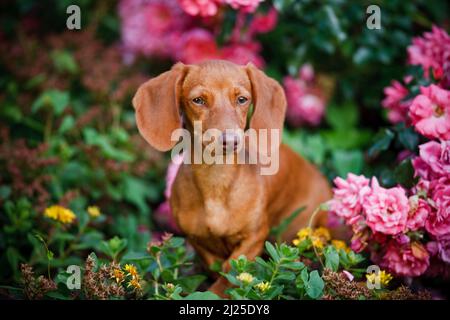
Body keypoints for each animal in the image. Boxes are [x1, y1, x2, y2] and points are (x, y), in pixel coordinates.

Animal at [132, 60, 332, 296]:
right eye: (198, 100)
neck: (216, 180)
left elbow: (230, 275)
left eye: (242, 99)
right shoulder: (198, 241)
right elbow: (217, 268)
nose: (230, 141)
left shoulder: (254, 239)